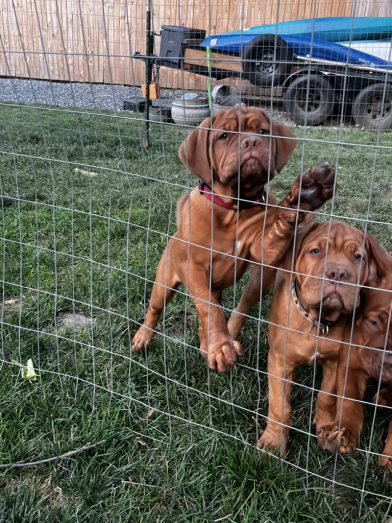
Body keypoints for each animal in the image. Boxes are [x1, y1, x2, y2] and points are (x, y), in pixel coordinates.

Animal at [132, 105, 334, 372]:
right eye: (224, 136)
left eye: (263, 131)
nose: (251, 141)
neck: (233, 207)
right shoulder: (191, 265)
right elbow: (209, 308)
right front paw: (220, 345)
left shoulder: (264, 249)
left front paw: (304, 196)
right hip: (165, 281)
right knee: (159, 308)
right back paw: (143, 337)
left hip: (259, 280)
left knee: (236, 308)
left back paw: (211, 343)